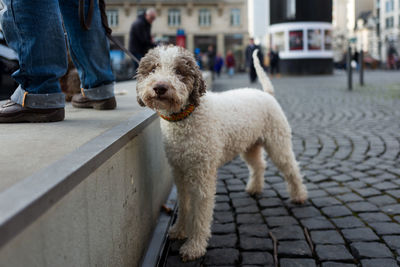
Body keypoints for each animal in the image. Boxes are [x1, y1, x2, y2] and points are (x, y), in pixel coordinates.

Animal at [136, 46, 308, 262]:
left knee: (291, 168)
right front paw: (178, 230)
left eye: (179, 71)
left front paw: (194, 247)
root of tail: (267, 94)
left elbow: (200, 213)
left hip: (277, 143)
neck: (187, 117)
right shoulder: (180, 171)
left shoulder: (202, 174)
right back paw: (255, 188)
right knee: (259, 165)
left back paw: (299, 195)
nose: (160, 87)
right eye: (152, 69)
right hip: (249, 144)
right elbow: (184, 204)